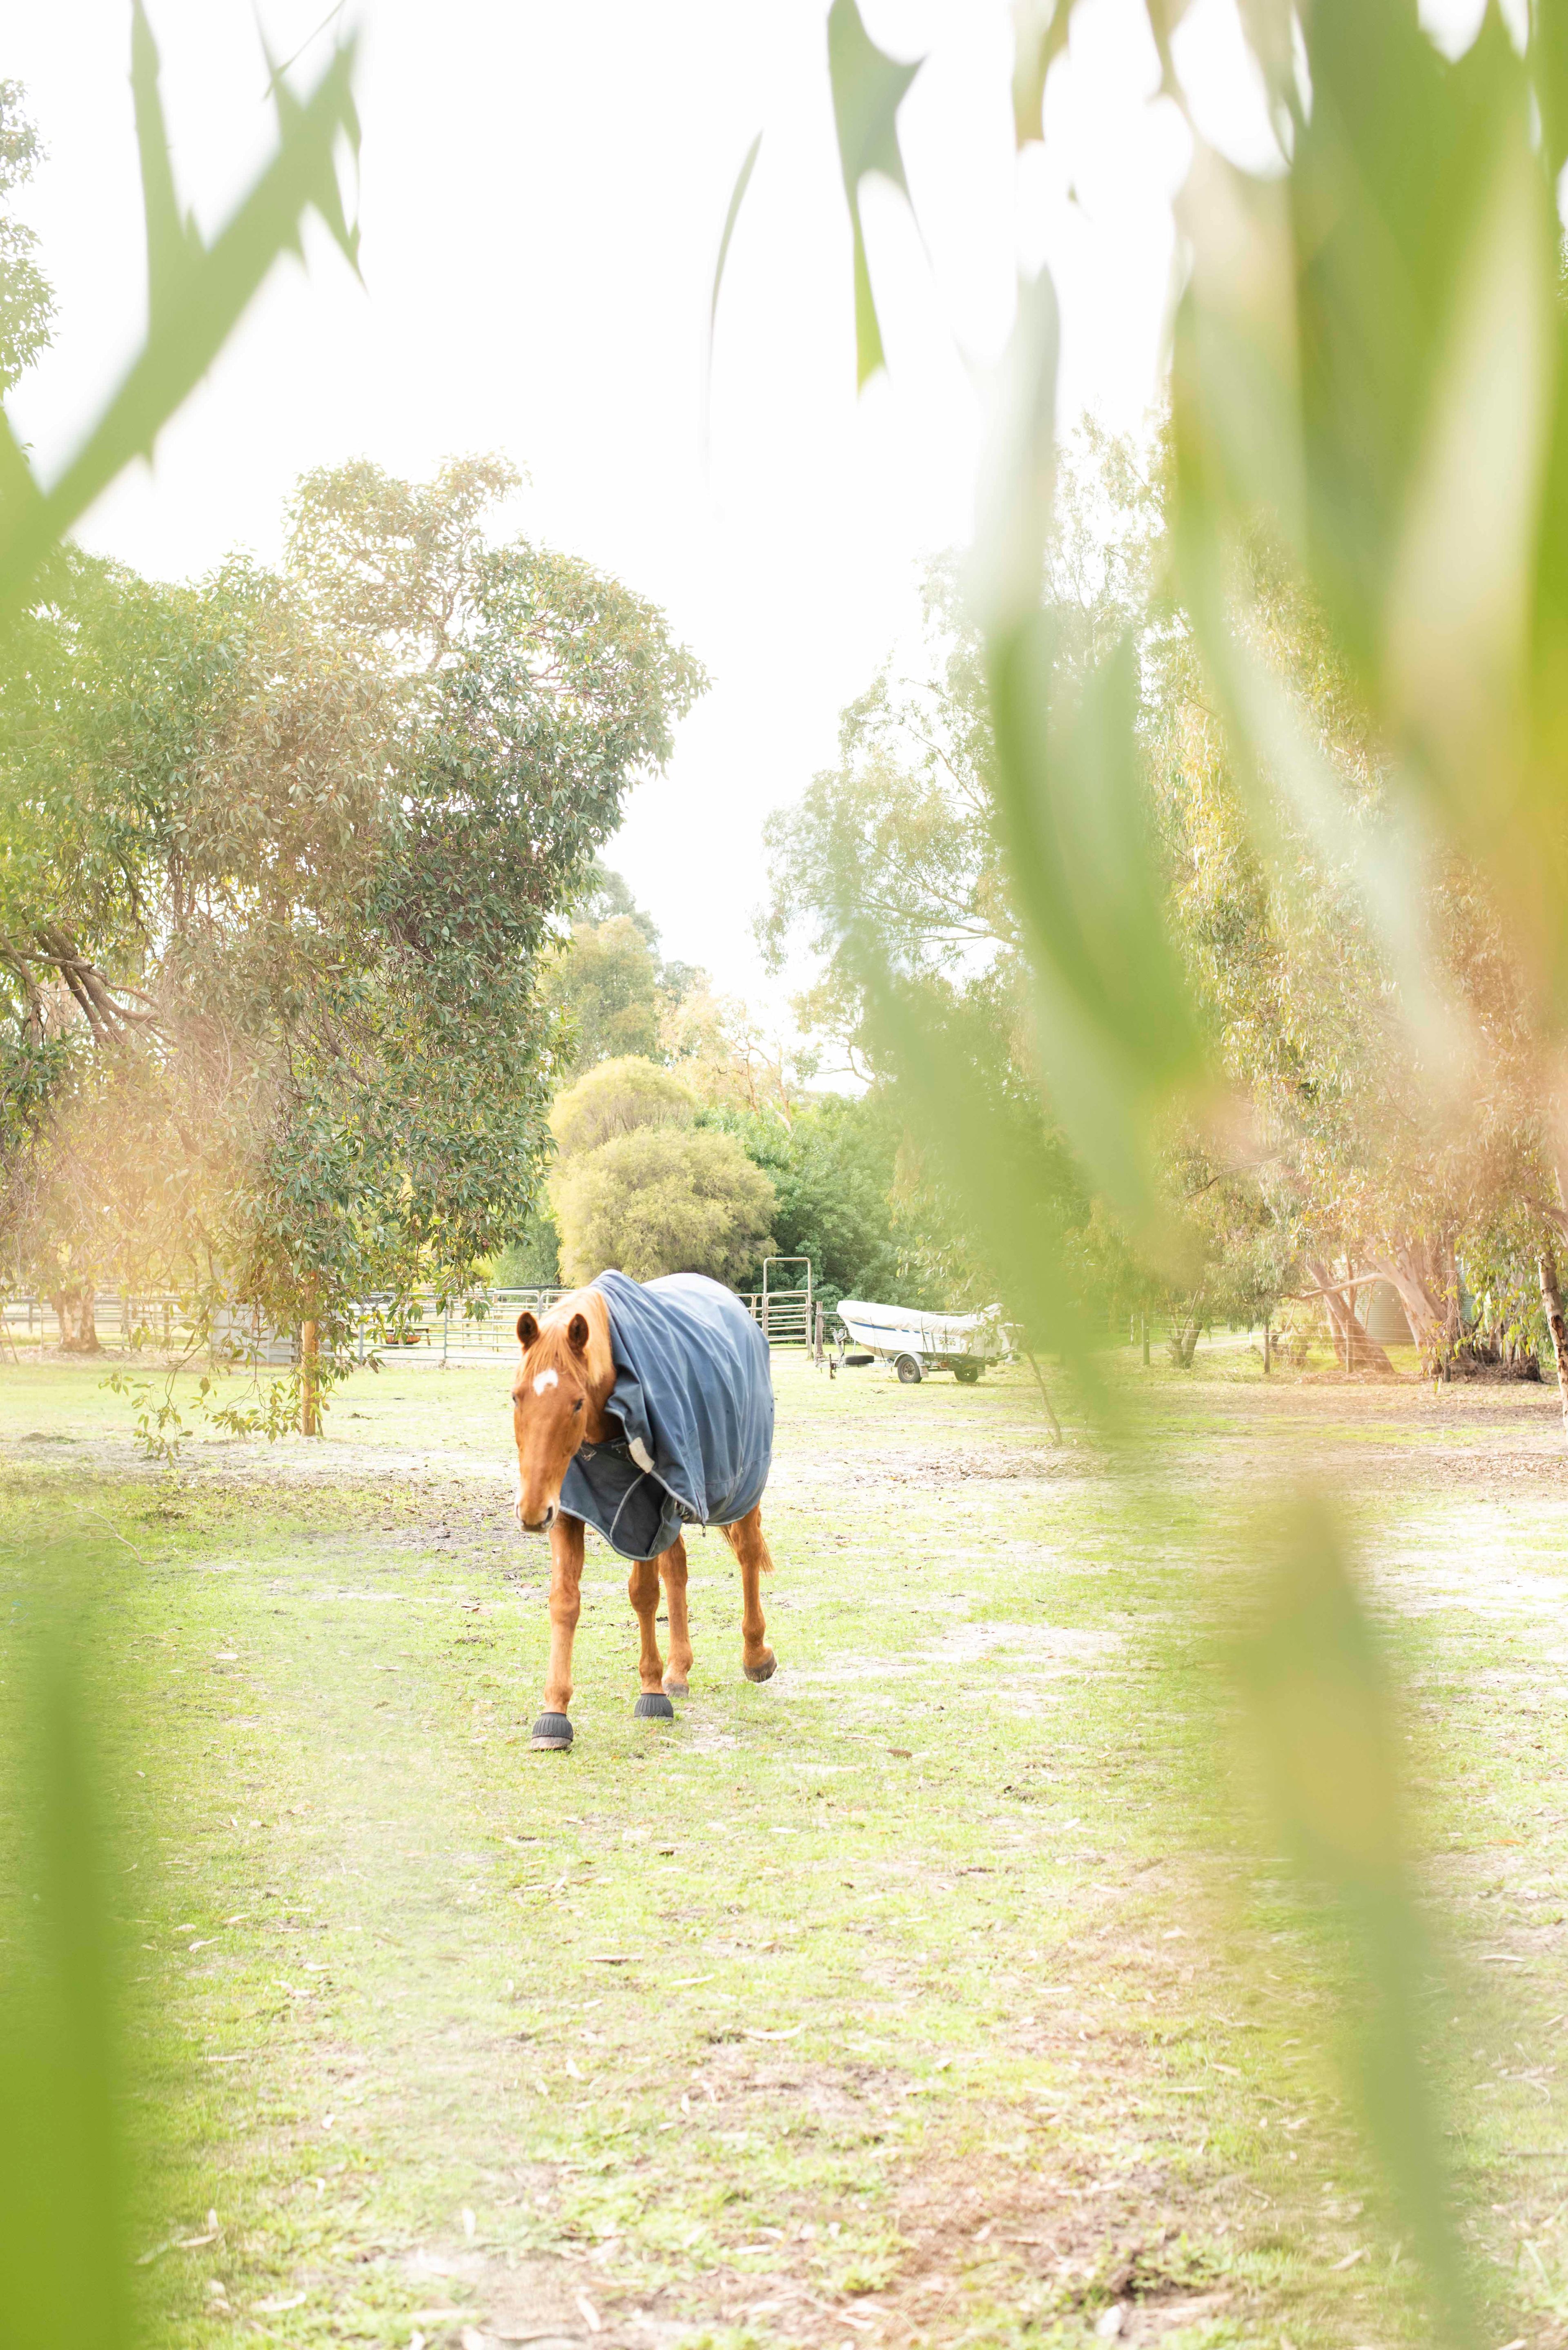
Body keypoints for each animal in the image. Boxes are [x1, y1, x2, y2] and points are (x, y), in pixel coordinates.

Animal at [510, 1270, 778, 1750]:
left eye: (577, 1403)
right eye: (517, 1397)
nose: (532, 1511)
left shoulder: (644, 1512)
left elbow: (645, 1594)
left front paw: (651, 1694)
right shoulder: (570, 1509)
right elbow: (565, 1602)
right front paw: (553, 1714)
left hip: (740, 1488)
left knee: (747, 1554)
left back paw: (755, 1655)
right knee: (679, 1570)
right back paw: (678, 1671)